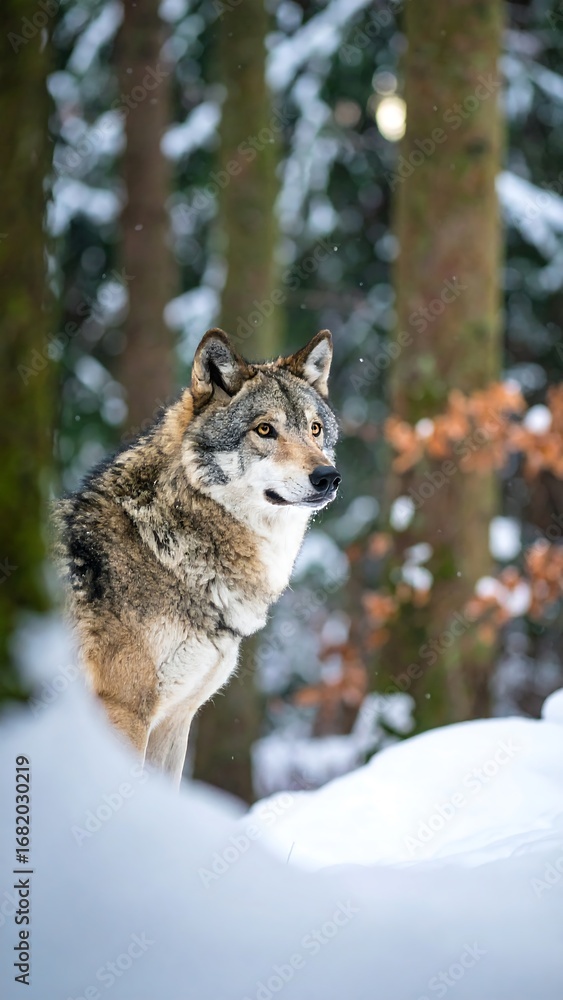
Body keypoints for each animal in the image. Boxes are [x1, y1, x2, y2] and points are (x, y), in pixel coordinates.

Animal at [55, 329, 340, 786]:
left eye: (315, 429)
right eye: (265, 429)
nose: (328, 477)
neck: (161, 546)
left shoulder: (175, 721)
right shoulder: (124, 710)